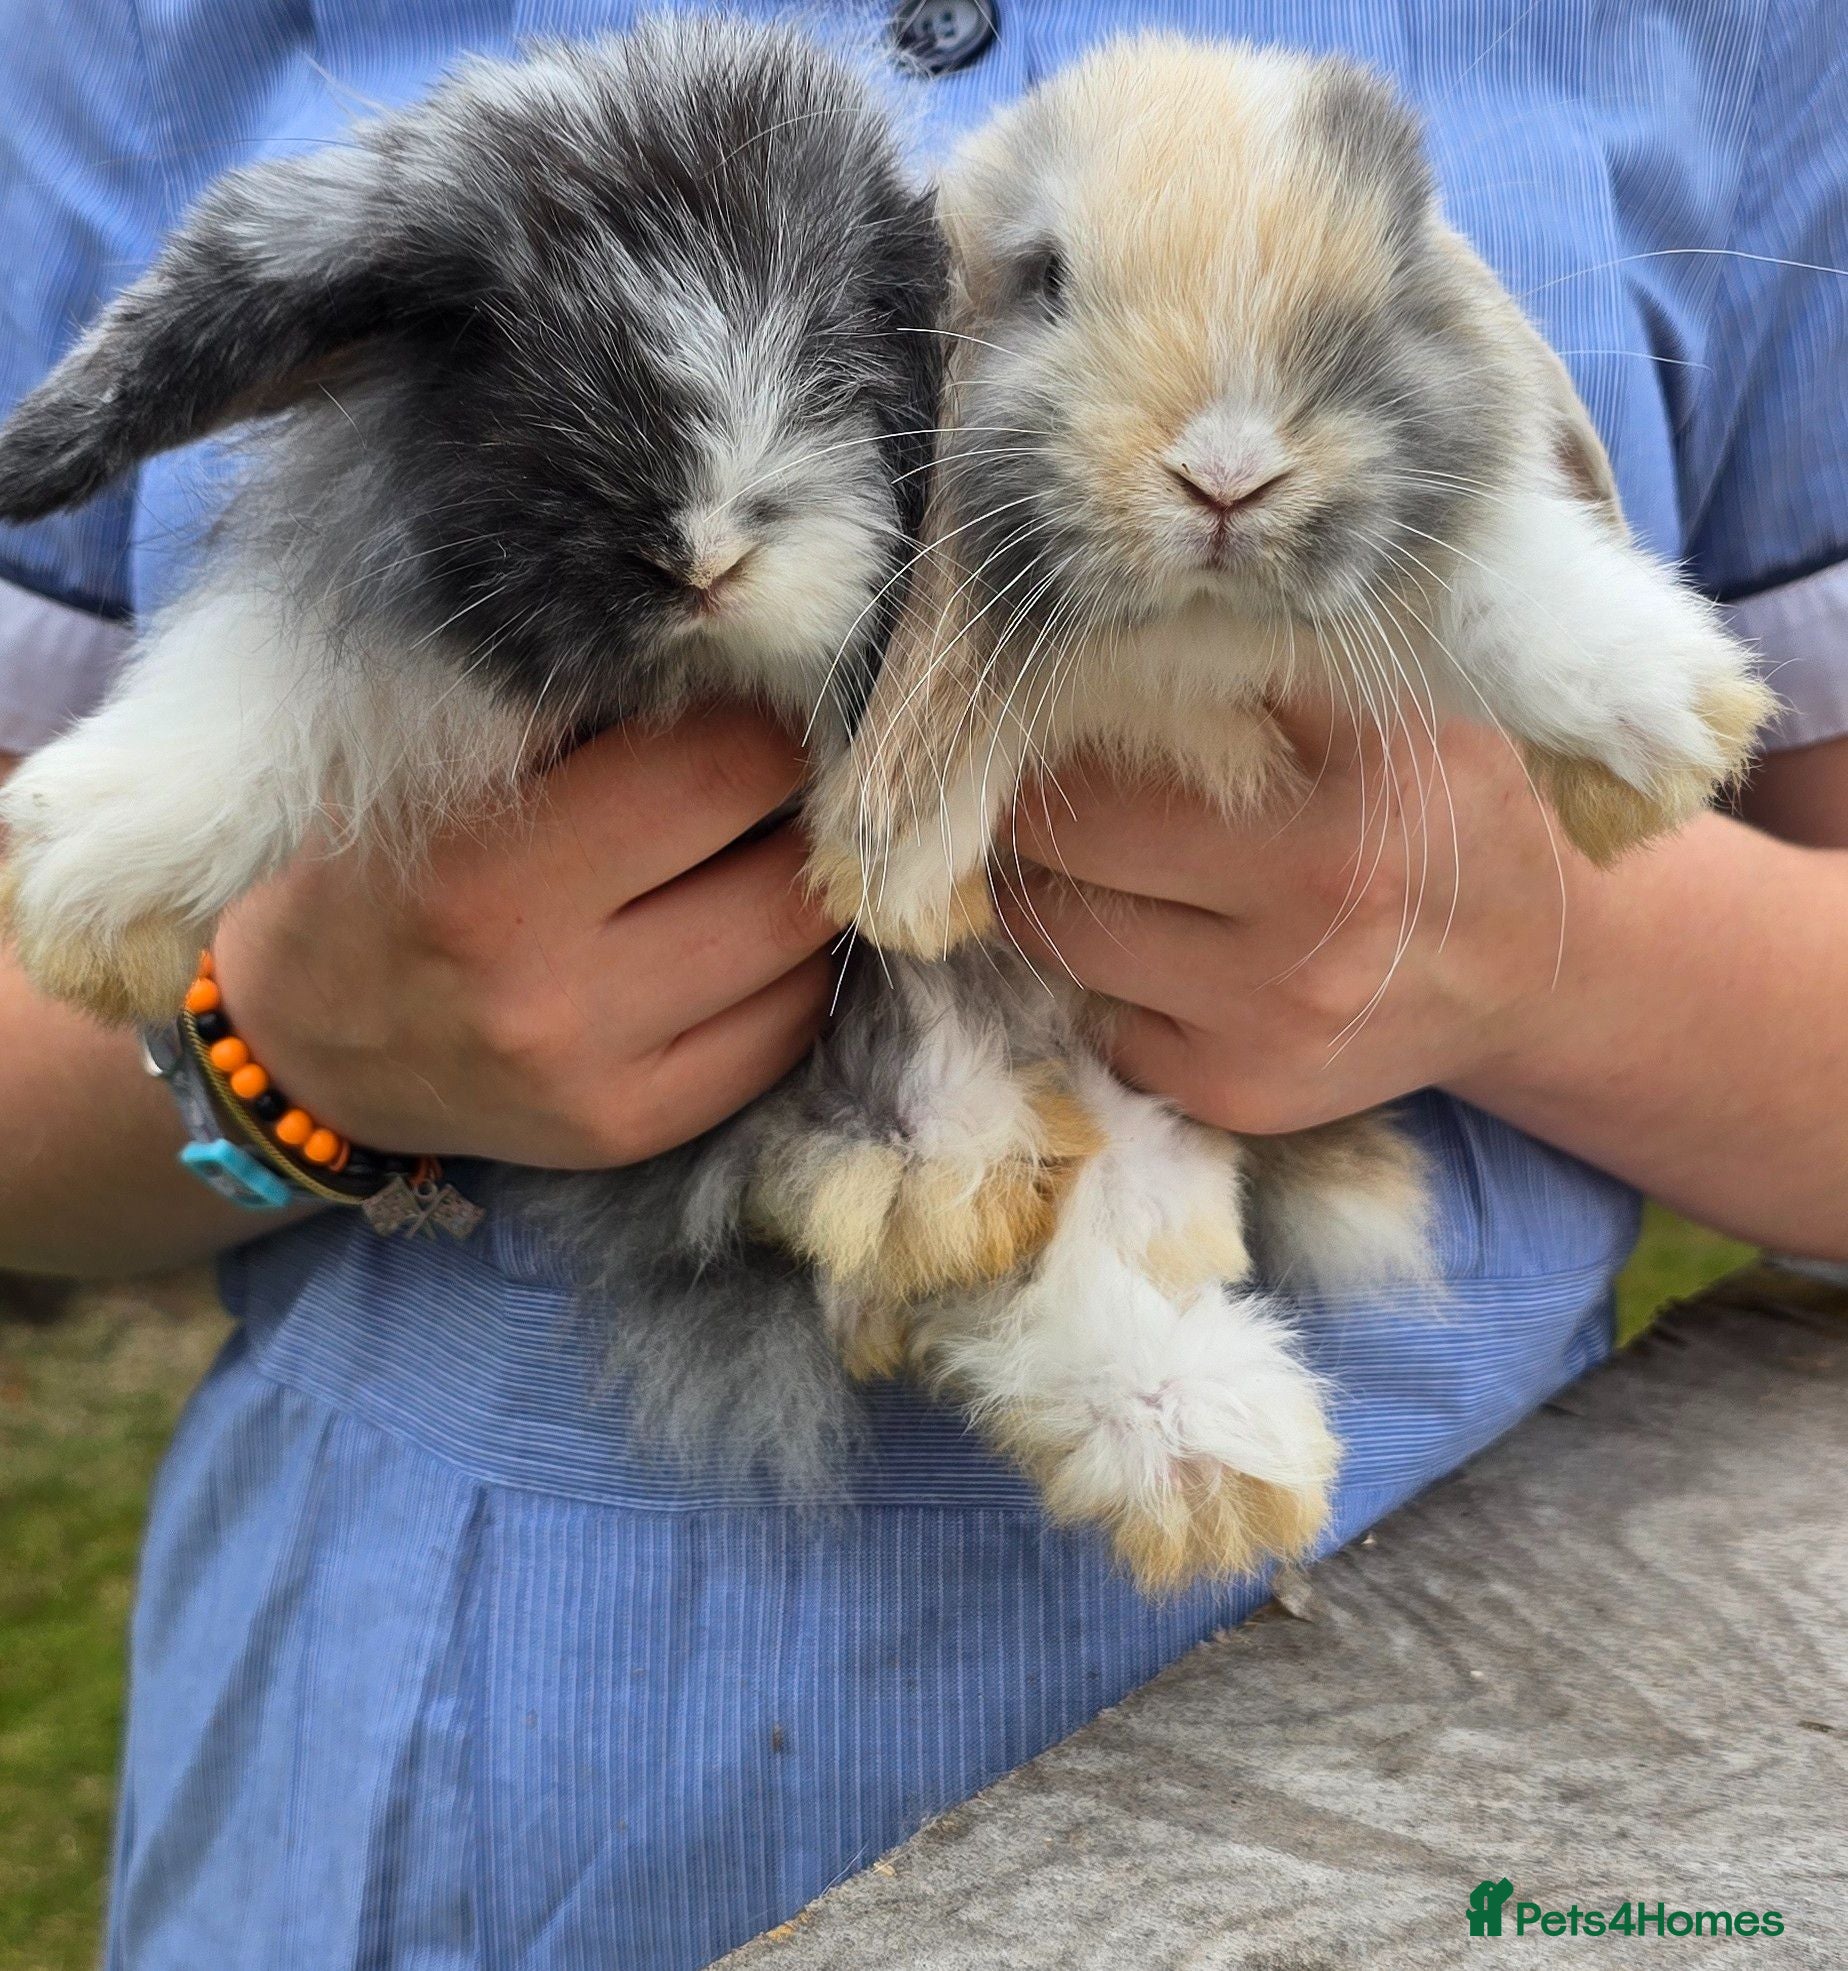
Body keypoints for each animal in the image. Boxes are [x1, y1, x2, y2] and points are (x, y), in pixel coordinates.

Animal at [796, 35, 1776, 1587]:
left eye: (1394, 271)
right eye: (1043, 277)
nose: (1226, 473)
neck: (1194, 631)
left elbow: (1490, 574)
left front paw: (1668, 717)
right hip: (975, 1098)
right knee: (1029, 1264)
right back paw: (1212, 1452)